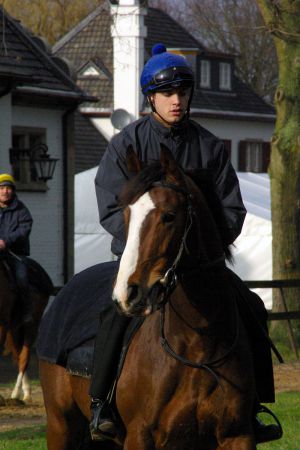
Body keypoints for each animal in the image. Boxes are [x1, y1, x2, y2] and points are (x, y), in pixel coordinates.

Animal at [0, 255, 51, 402]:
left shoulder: (2, 323)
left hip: (31, 326)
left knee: (24, 358)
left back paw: (20, 393)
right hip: (15, 328)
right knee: (18, 355)